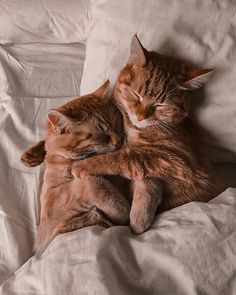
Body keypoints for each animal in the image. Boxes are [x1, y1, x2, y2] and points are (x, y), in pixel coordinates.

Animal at [72, 36, 221, 236]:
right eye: (137, 95)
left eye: (160, 105)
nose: (141, 116)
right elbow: (147, 180)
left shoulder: (170, 159)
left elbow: (122, 159)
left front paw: (82, 165)